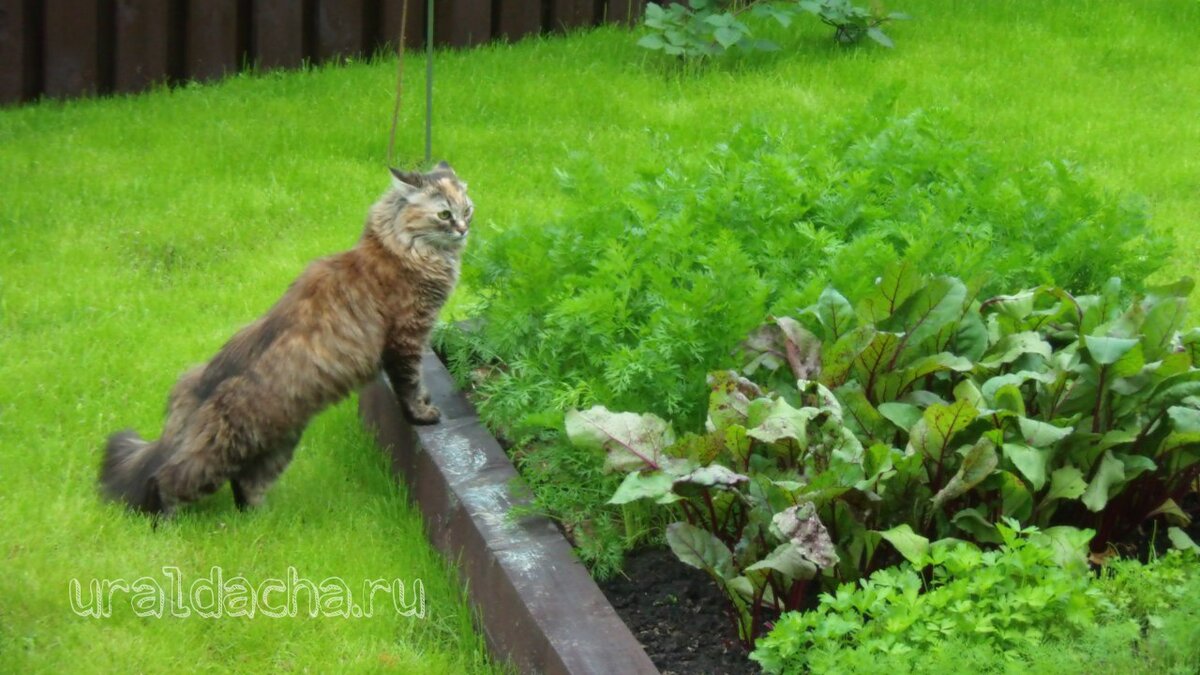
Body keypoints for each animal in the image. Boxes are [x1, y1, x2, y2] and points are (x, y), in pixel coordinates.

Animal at [99, 164, 472, 514]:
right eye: (444, 214)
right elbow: (409, 385)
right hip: (220, 456)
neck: (399, 249)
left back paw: (261, 521)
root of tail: (198, 387)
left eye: (467, 209)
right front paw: (423, 414)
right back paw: (169, 520)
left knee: (244, 487)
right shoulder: (406, 338)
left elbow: (418, 382)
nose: (463, 229)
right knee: (166, 479)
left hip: (277, 447)